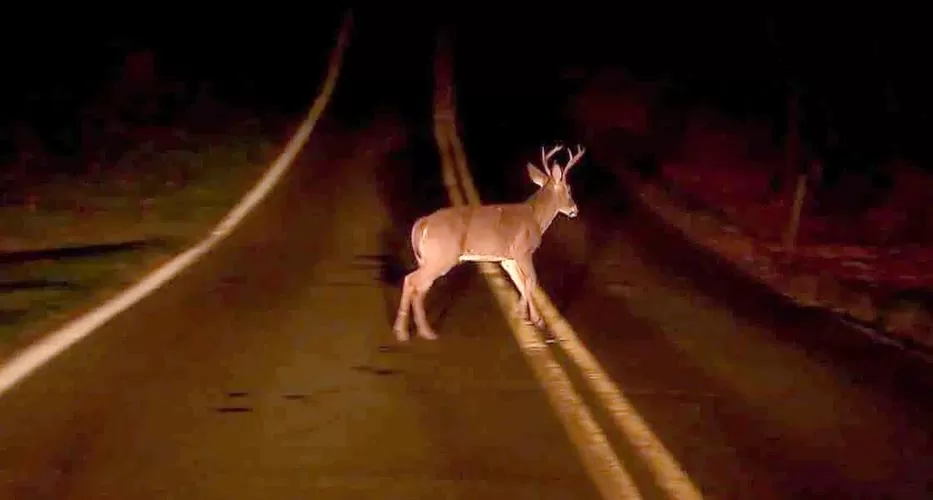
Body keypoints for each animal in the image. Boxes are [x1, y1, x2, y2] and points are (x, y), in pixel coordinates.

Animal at [393, 143, 586, 342]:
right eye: (569, 189)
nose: (574, 210)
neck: (536, 217)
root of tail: (422, 223)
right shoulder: (522, 251)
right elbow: (531, 280)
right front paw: (525, 315)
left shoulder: (508, 259)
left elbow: (521, 283)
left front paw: (531, 318)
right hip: (442, 257)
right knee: (412, 281)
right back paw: (416, 331)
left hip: (429, 258)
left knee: (417, 285)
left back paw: (411, 330)